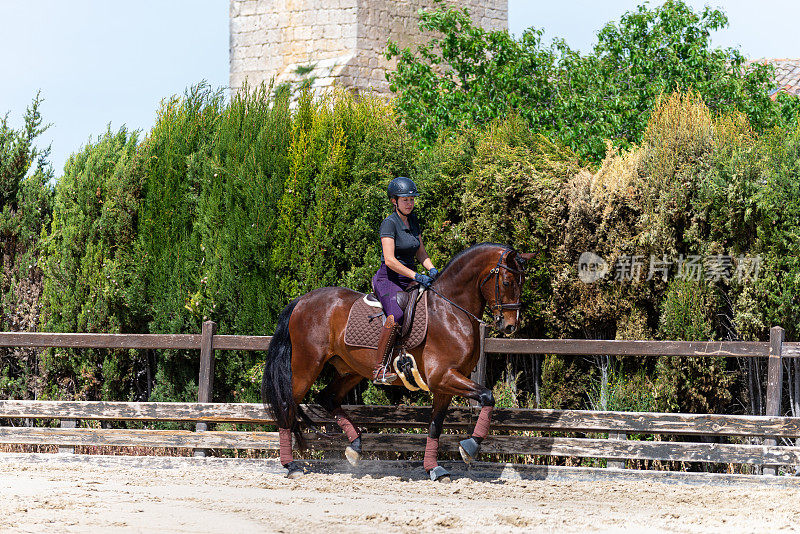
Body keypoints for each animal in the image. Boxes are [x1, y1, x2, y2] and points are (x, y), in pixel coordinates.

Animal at [262, 243, 536, 482]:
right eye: (508, 282)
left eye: (522, 283)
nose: (510, 326)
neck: (451, 310)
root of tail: (302, 300)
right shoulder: (443, 377)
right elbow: (487, 396)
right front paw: (469, 447)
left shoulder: (443, 385)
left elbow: (435, 426)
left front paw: (435, 469)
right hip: (307, 365)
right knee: (287, 404)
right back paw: (291, 465)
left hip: (351, 369)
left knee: (327, 398)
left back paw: (355, 447)